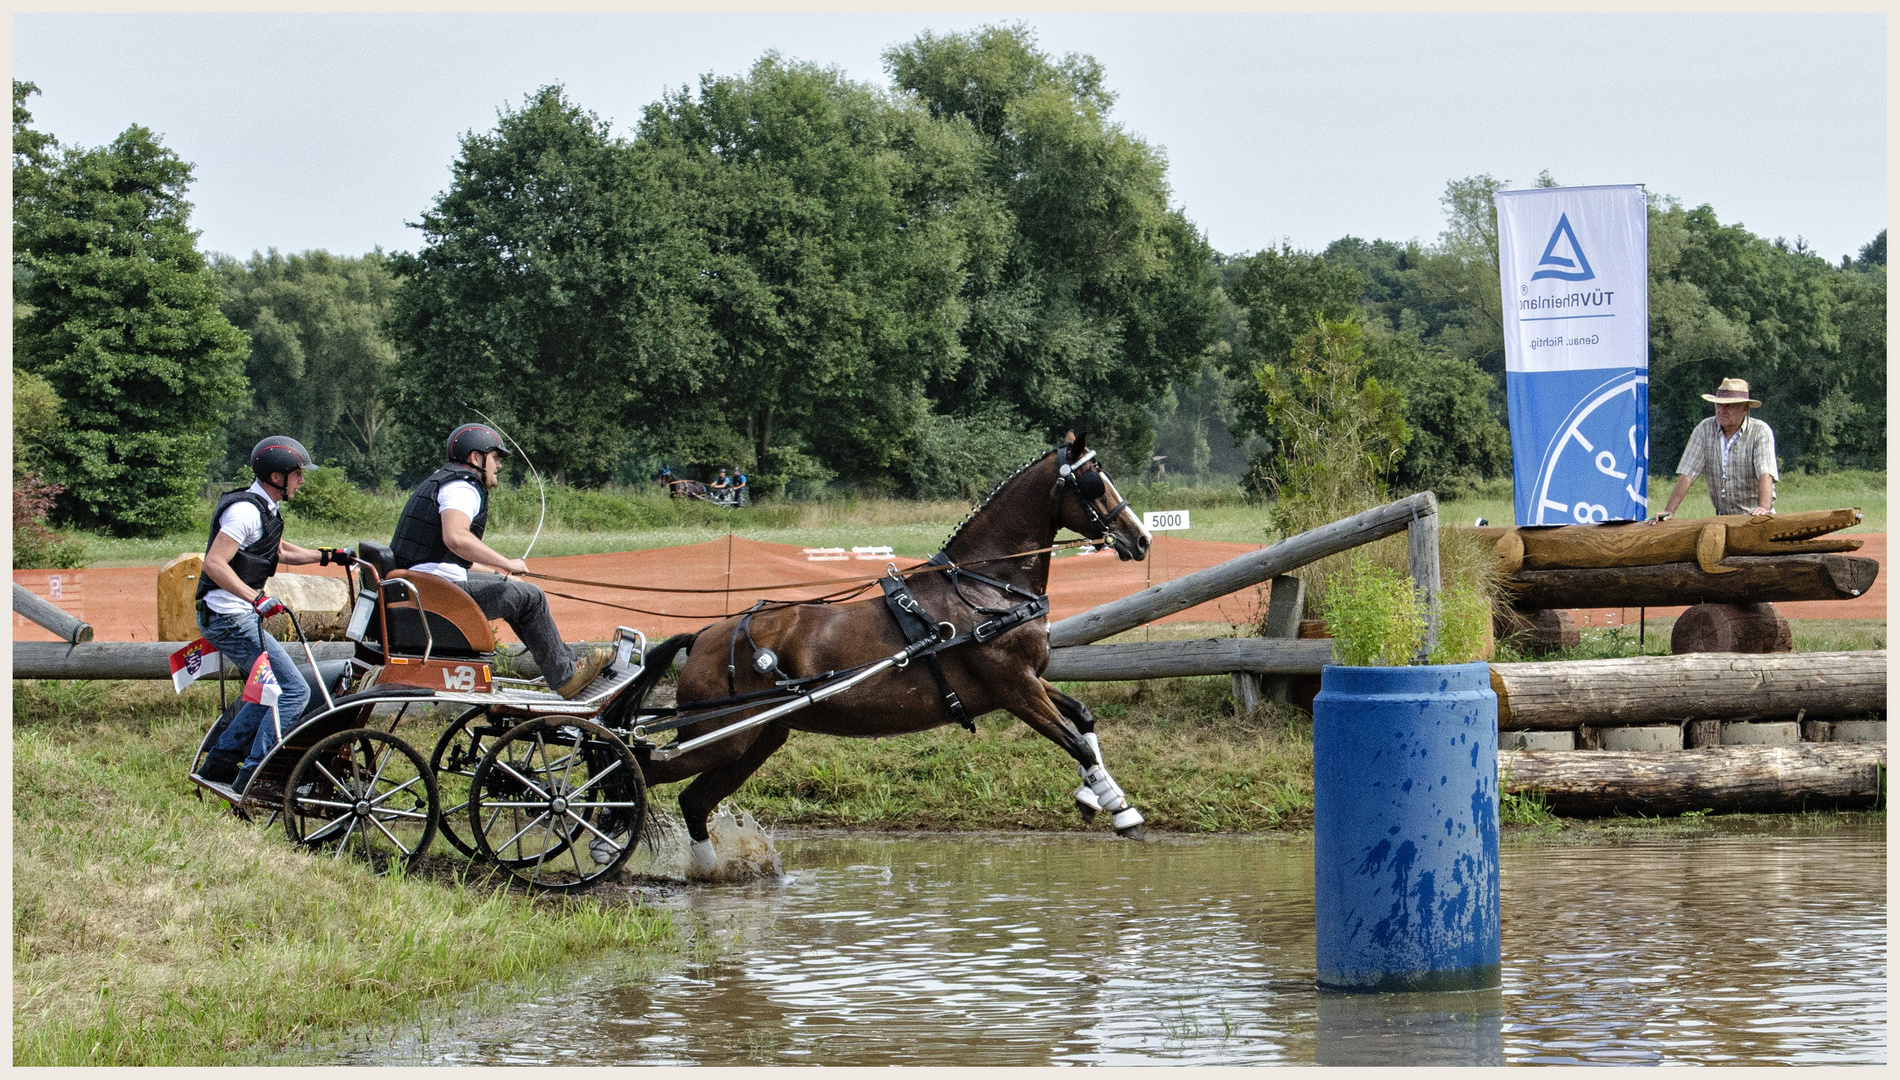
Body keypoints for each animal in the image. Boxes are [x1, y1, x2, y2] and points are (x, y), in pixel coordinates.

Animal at [623, 431, 1147, 878]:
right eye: (1093, 479)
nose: (1141, 539)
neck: (986, 588)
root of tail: (704, 635)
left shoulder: (1030, 682)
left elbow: (1083, 716)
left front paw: (1092, 795)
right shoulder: (1014, 688)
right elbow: (1076, 741)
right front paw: (1121, 811)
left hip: (755, 740)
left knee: (692, 801)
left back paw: (710, 873)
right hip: (716, 738)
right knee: (637, 773)